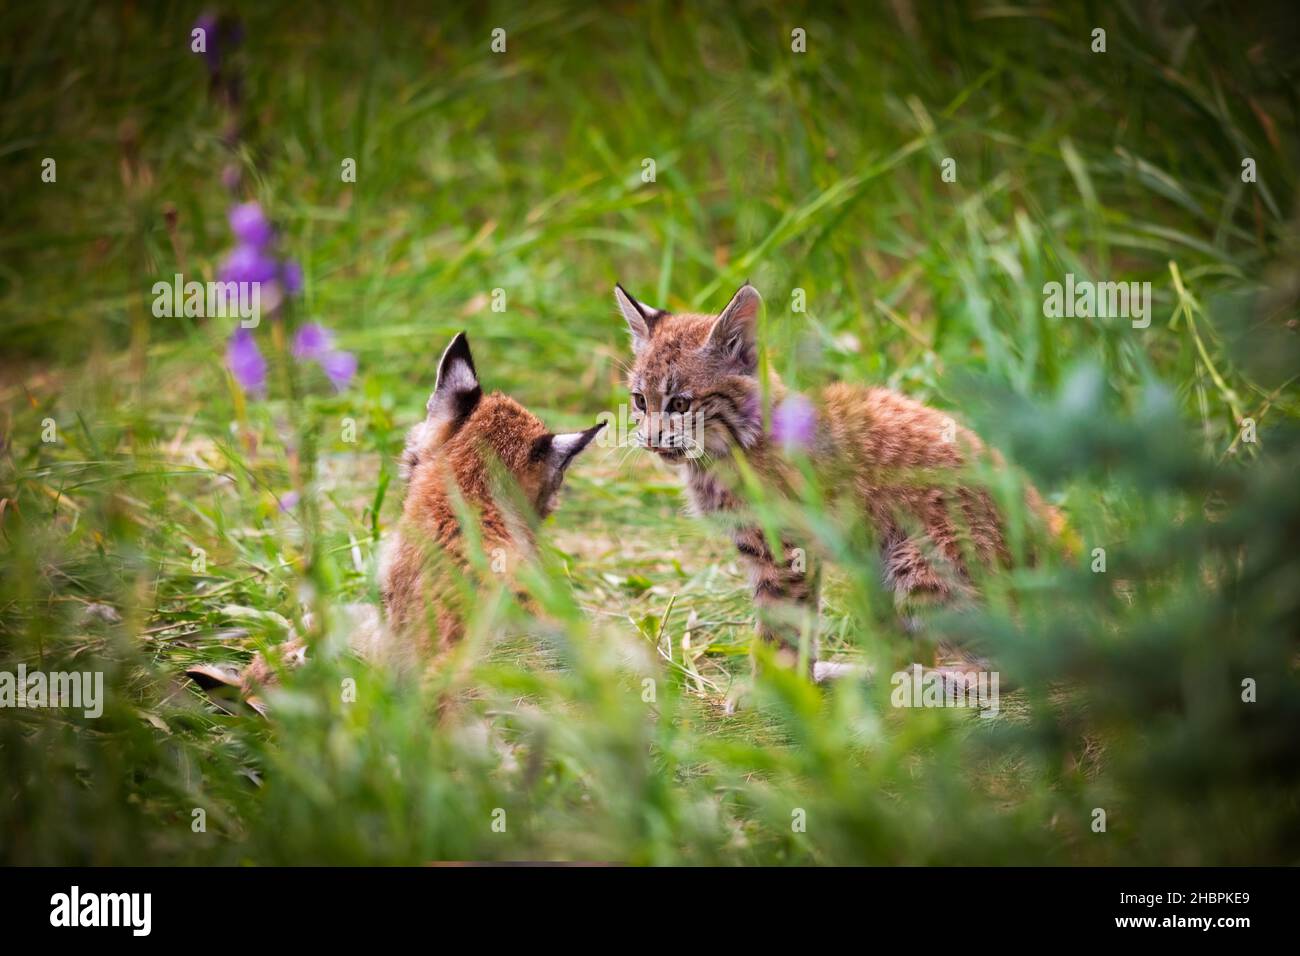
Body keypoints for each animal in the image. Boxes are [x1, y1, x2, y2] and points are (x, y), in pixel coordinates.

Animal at [613, 280, 1060, 676]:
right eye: (640, 401)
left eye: (680, 404)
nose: (649, 439)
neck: (728, 448)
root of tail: (1049, 522)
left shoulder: (786, 551)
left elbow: (778, 629)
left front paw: (768, 690)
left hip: (918, 564)